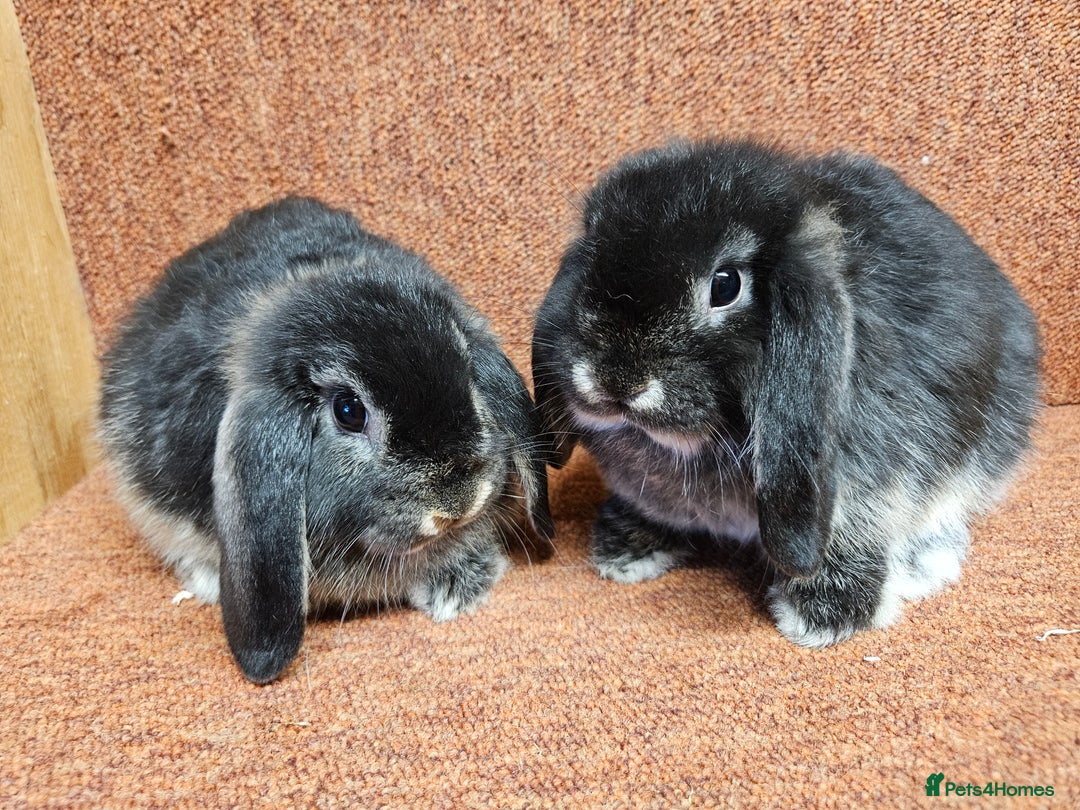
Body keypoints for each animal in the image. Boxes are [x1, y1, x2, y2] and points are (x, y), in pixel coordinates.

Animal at [532, 140, 1040, 647]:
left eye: (725, 285)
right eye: (589, 268)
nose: (616, 381)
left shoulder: (872, 473)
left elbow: (856, 524)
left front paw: (825, 613)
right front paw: (626, 548)